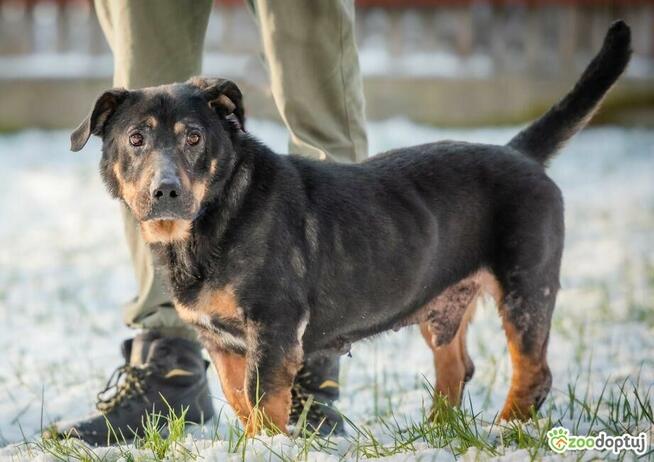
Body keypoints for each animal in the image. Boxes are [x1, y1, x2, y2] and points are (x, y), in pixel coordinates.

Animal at [72, 20, 636, 434]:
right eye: (136, 139)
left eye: (193, 137)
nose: (165, 190)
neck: (213, 218)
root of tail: (520, 154)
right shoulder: (222, 341)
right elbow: (239, 399)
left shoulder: (274, 327)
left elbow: (262, 401)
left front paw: (267, 446)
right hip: (444, 301)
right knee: (457, 367)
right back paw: (436, 433)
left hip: (525, 286)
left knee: (533, 370)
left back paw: (506, 431)